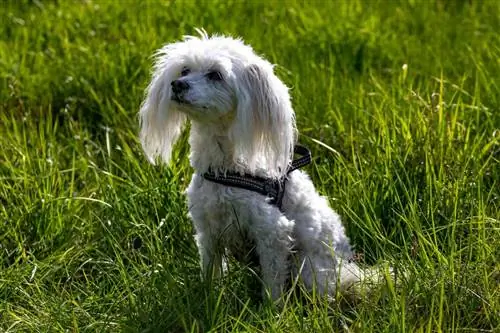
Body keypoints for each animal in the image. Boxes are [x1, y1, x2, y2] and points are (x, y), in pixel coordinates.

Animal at [140, 29, 368, 300]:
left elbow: (272, 283)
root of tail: (348, 269)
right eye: (184, 70)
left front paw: (272, 309)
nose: (177, 84)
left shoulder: (272, 232)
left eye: (216, 75)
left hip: (309, 270)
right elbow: (210, 273)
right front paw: (209, 299)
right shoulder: (208, 231)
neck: (224, 169)